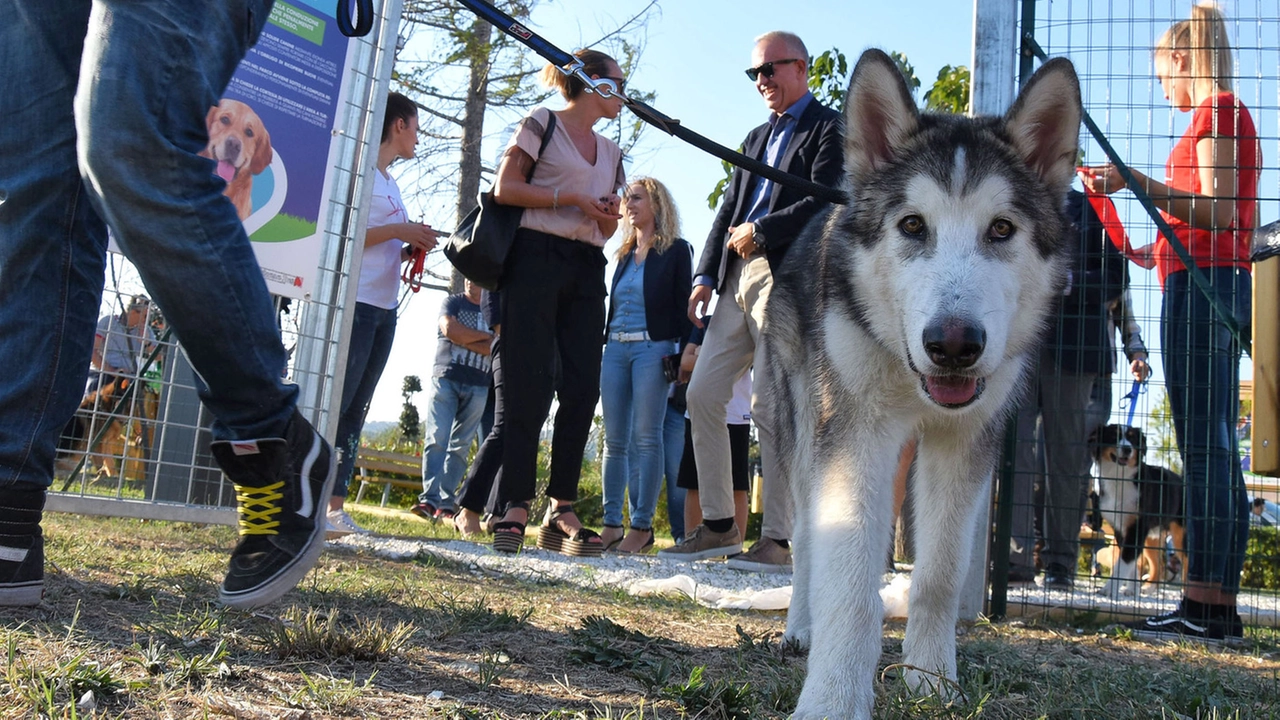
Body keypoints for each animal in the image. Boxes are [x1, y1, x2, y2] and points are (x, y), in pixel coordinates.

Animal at [757, 47, 1080, 712]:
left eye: (1001, 229)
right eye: (912, 225)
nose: (953, 345)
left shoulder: (965, 442)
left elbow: (938, 574)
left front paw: (931, 681)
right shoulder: (854, 433)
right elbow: (848, 574)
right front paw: (832, 700)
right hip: (802, 424)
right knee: (805, 537)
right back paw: (800, 627)